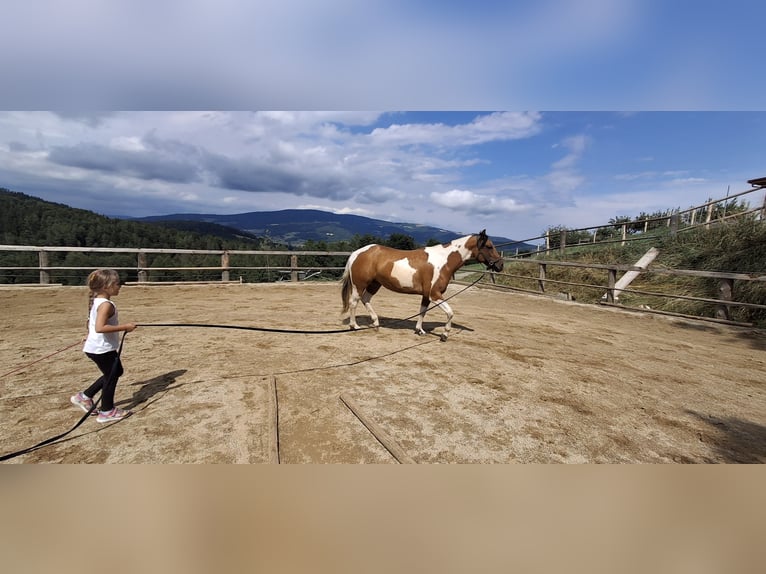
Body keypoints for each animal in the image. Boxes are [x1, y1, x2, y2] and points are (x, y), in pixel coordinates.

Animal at [340, 230, 504, 340]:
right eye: (489, 246)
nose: (500, 265)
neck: (443, 261)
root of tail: (357, 253)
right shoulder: (434, 294)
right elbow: (450, 312)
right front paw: (444, 334)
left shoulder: (426, 295)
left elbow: (422, 311)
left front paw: (420, 330)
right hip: (359, 285)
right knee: (353, 302)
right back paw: (354, 326)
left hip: (375, 284)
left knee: (366, 299)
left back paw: (375, 323)